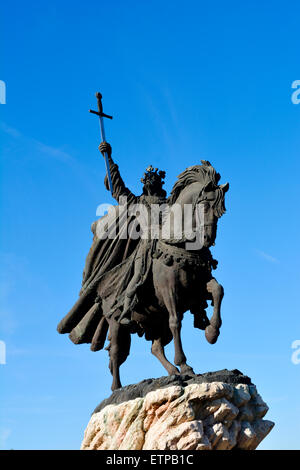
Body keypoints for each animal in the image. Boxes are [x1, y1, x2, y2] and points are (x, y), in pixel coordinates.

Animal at [96, 162, 230, 390]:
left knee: (156, 348)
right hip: (115, 322)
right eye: (205, 206)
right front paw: (185, 365)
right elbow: (176, 321)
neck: (180, 243)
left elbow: (218, 291)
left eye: (221, 211)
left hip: (156, 322)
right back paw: (117, 387)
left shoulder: (199, 286)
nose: (208, 238)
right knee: (115, 352)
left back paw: (172, 372)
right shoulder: (169, 291)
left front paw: (211, 332)